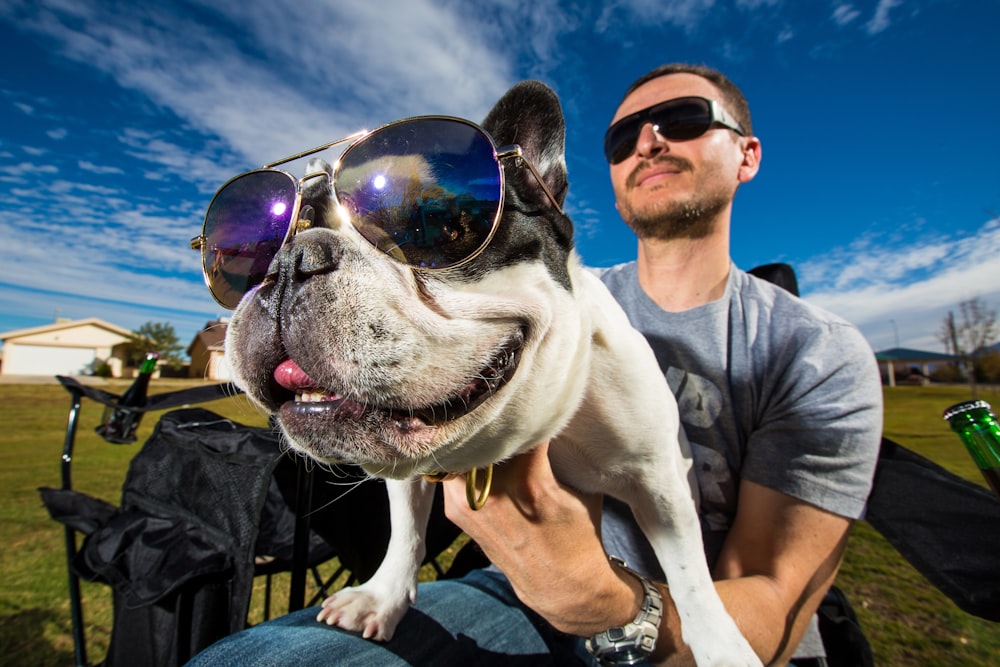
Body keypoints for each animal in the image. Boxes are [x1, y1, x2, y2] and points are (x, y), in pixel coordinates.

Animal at [225, 81, 756, 664]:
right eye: (262, 247)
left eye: (435, 233)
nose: (287, 263)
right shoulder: (410, 473)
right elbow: (406, 527)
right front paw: (383, 597)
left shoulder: (656, 479)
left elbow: (689, 573)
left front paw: (722, 648)